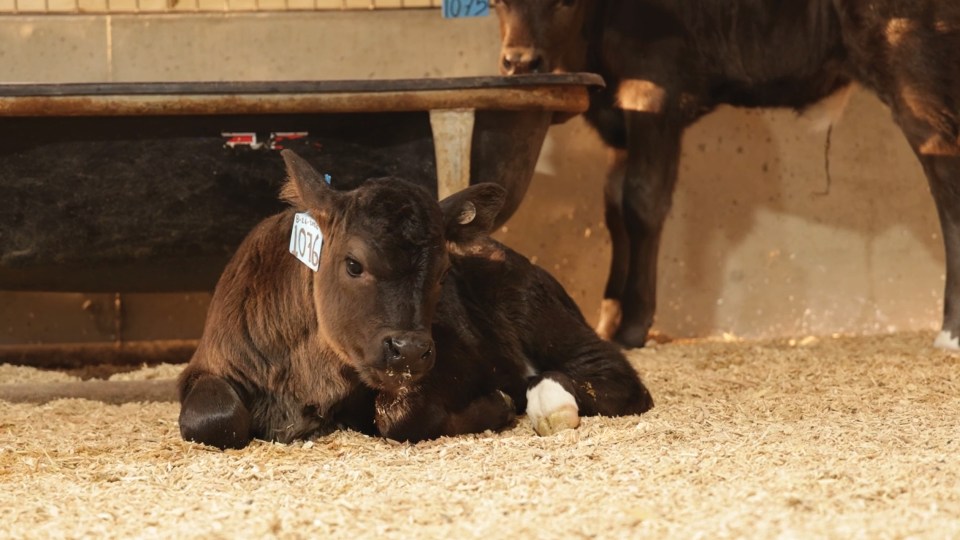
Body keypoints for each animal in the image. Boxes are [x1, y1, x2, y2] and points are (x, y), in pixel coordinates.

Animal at [177, 149, 652, 452]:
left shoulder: (457, 362)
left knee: (613, 375)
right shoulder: (206, 366)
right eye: (353, 263)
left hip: (539, 312)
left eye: (443, 272)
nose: (409, 350)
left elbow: (398, 413)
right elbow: (213, 418)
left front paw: (495, 405)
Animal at [496, 0, 960, 350]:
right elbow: (613, 209)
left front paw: (632, 326)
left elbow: (642, 202)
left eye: (564, 1)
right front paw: (607, 320)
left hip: (916, 83)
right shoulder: (621, 129)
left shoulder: (654, 95)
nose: (520, 62)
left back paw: (949, 330)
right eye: (499, 2)